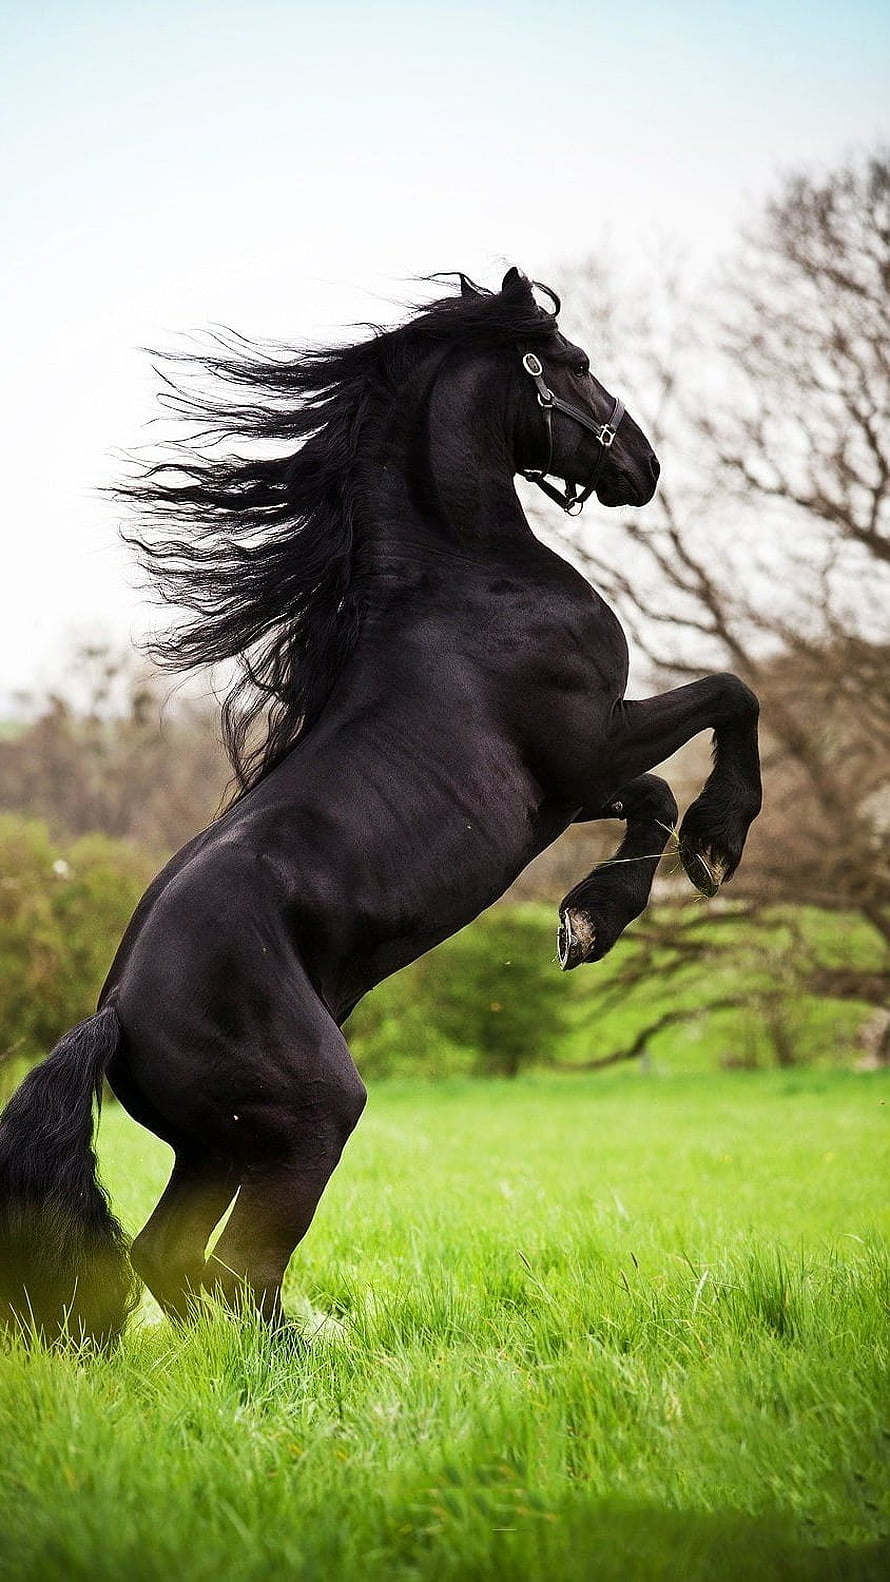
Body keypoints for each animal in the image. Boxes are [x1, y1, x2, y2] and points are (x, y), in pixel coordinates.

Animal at [0, 268, 761, 1347]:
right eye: (571, 363)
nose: (643, 465)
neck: (467, 584)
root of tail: (112, 1016)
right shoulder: (589, 742)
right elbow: (730, 696)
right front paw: (715, 846)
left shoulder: (570, 787)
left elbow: (654, 795)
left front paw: (589, 920)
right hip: (310, 1115)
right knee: (236, 1269)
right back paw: (306, 1358)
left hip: (222, 1144)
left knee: (172, 1258)